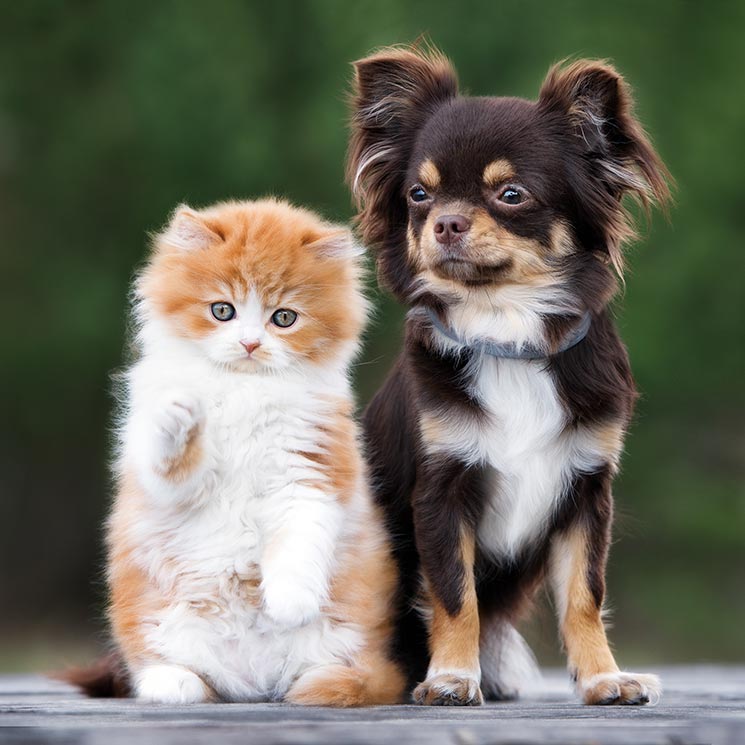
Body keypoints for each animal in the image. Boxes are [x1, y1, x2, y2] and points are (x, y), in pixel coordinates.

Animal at [103, 196, 402, 704]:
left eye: (283, 317)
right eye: (222, 310)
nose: (249, 343)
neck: (244, 389)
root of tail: (253, 683)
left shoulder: (311, 467)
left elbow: (299, 538)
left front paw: (290, 602)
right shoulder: (165, 481)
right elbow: (171, 464)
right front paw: (180, 419)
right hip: (161, 621)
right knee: (181, 672)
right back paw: (174, 682)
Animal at [346, 43, 672, 708]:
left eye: (512, 194)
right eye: (418, 194)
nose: (445, 222)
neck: (506, 336)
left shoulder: (585, 493)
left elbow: (584, 595)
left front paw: (603, 678)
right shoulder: (441, 494)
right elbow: (455, 594)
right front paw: (451, 677)